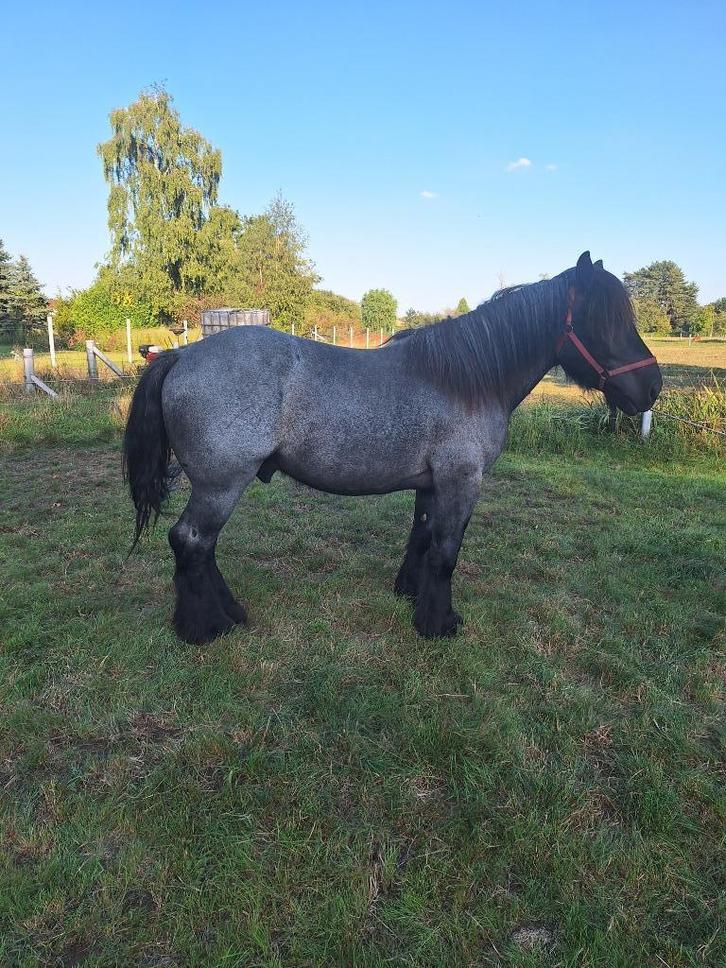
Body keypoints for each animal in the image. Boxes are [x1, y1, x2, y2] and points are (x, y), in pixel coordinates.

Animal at [123, 252, 662, 644]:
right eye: (604, 323)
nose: (653, 388)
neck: (466, 380)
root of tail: (181, 356)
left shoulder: (431, 483)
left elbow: (421, 538)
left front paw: (409, 595)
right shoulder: (461, 481)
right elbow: (446, 552)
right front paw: (439, 624)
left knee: (203, 546)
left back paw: (230, 612)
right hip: (221, 483)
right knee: (191, 541)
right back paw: (204, 628)